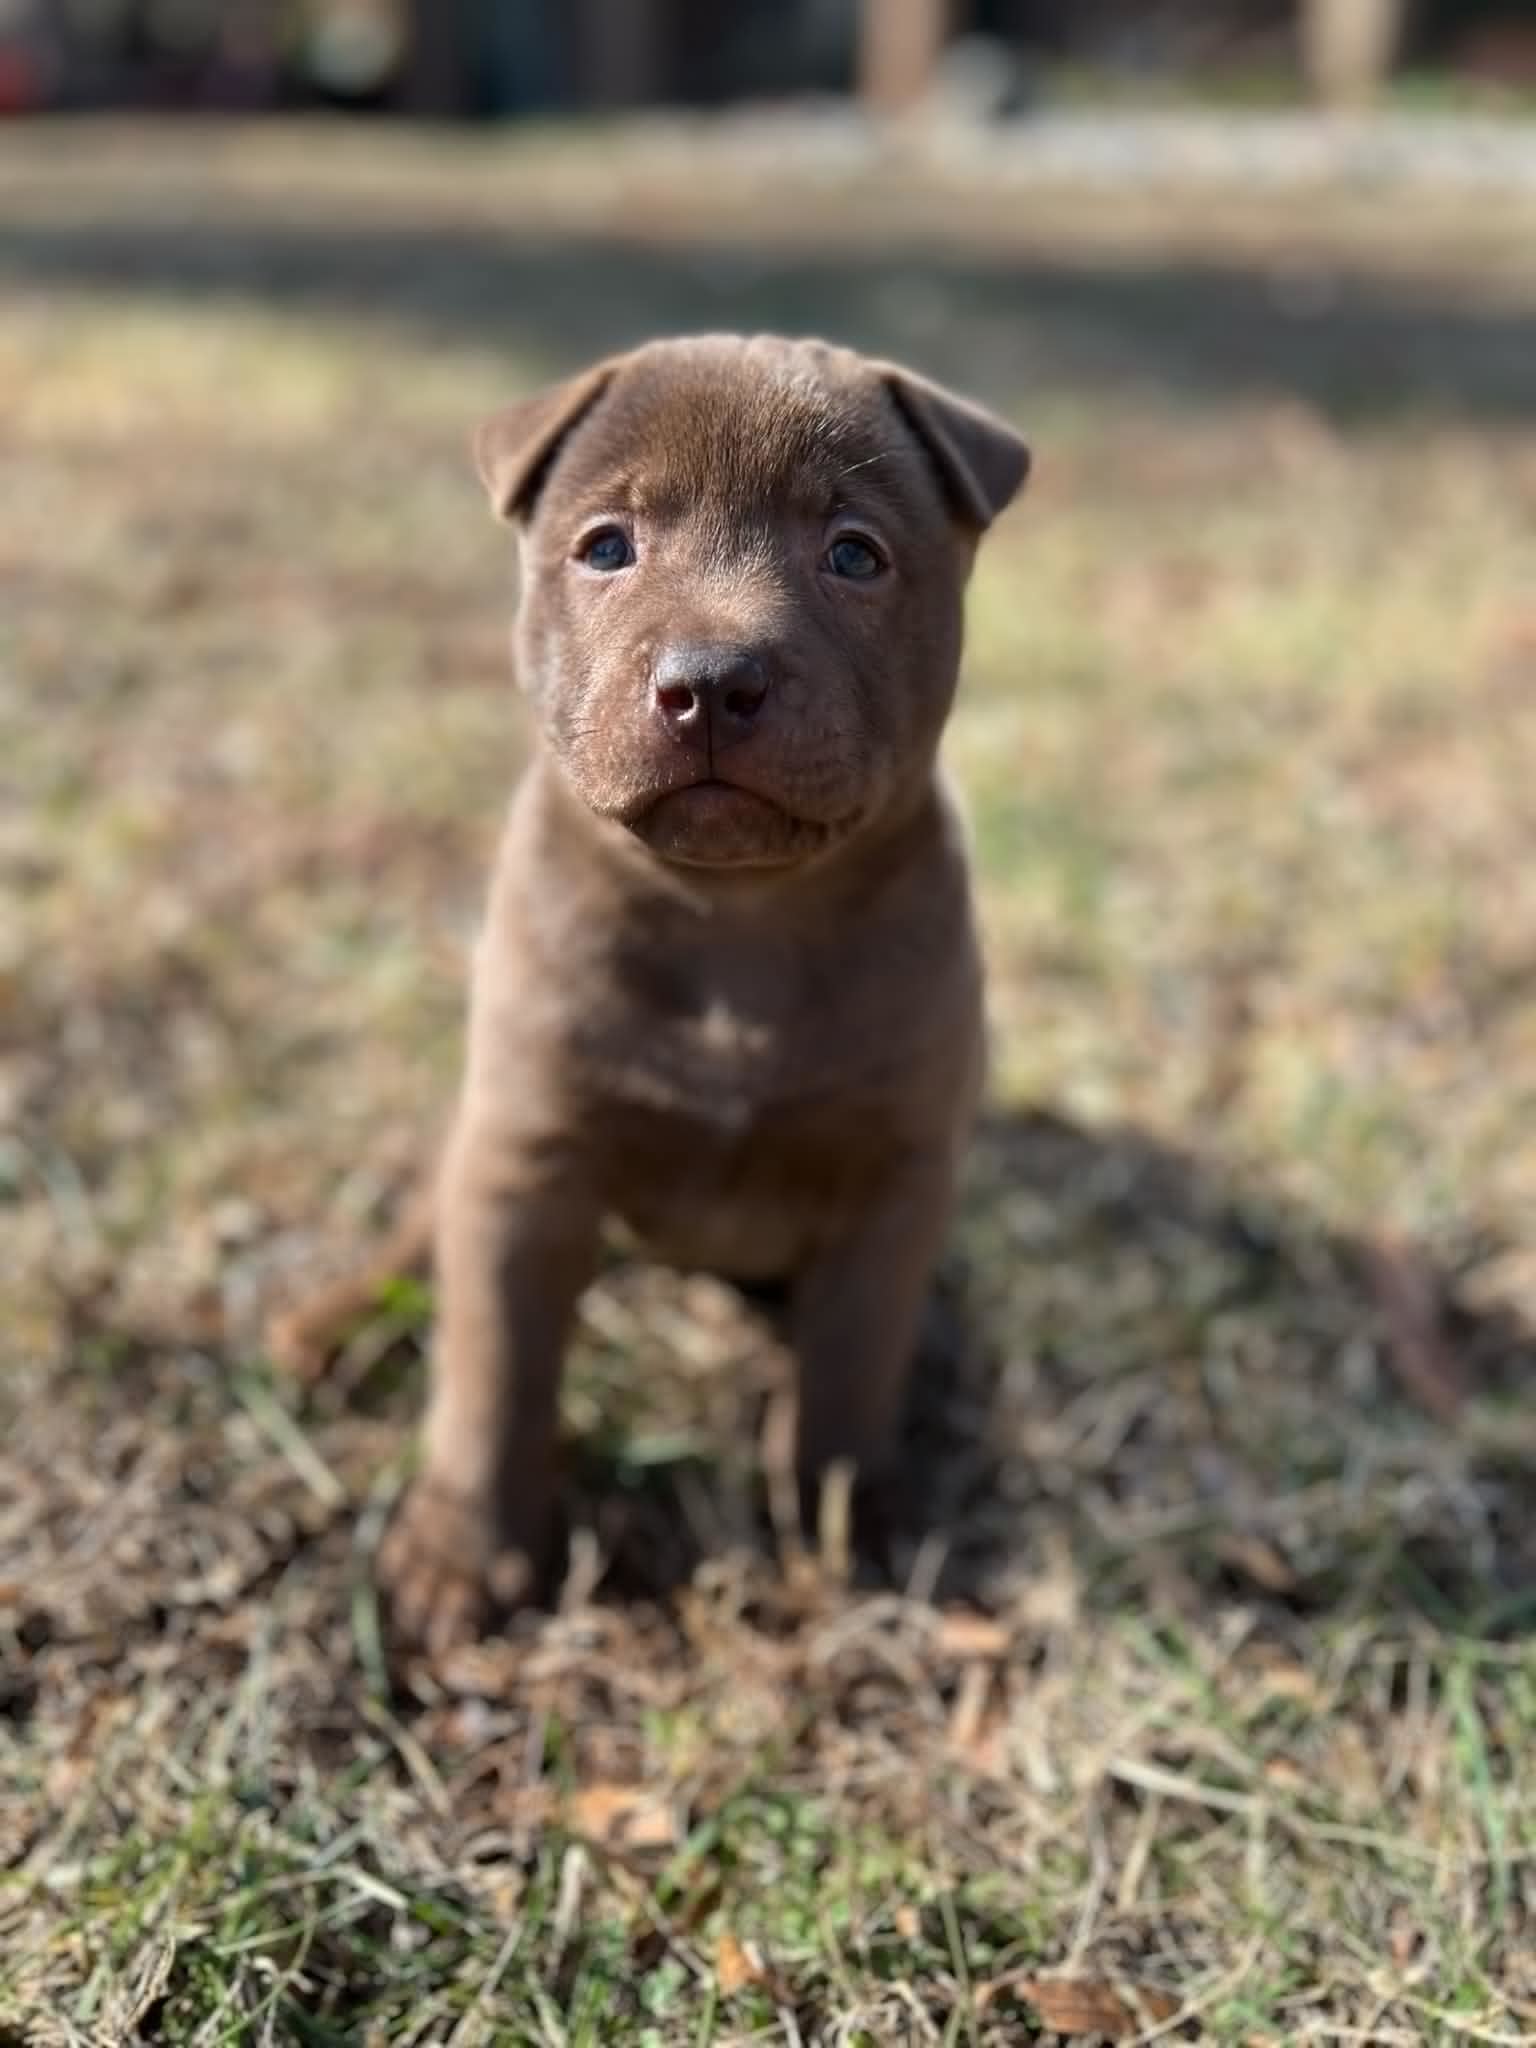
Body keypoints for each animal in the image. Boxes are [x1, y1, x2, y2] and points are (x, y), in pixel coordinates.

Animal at [290, 335, 1036, 1646]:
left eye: (855, 553)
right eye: (605, 547)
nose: (713, 680)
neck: (736, 921)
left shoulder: (893, 1175)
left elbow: (852, 1361)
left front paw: (849, 1513)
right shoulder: (526, 1159)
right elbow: (493, 1372)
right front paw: (459, 1553)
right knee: (421, 1230)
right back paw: (335, 1321)